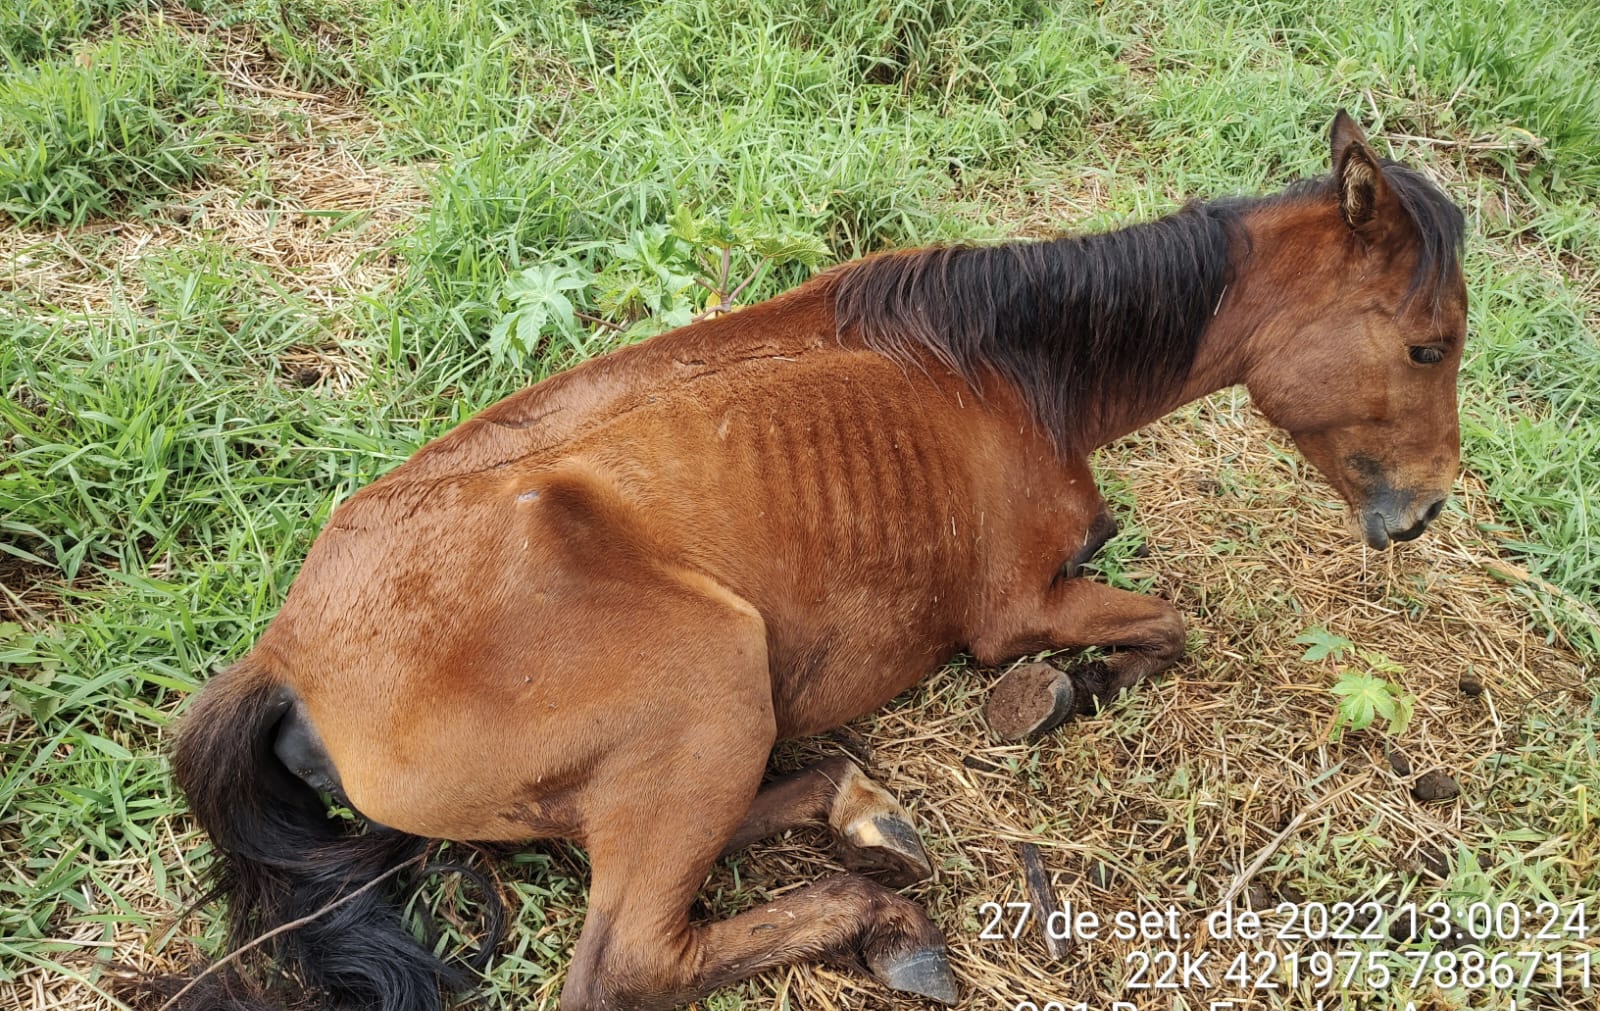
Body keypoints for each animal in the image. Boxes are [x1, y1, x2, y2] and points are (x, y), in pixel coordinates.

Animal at [134, 112, 1465, 1011]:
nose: (1421, 513)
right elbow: (1162, 626)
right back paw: (880, 914)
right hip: (709, 673)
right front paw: (1056, 694)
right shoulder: (1017, 607)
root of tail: (288, 659)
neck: (1007, 369)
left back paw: (861, 816)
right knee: (629, 960)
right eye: (1427, 344)